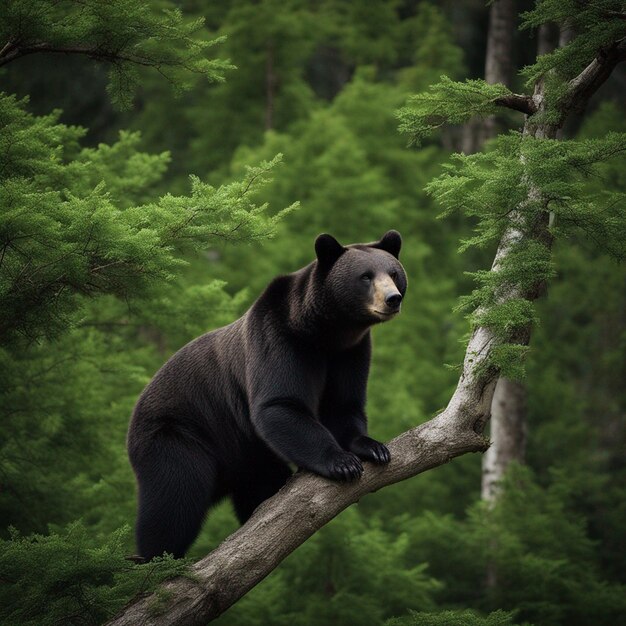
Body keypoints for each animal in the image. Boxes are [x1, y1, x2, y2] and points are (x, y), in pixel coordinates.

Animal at [129, 228, 408, 556]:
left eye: (393, 273)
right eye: (365, 276)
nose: (392, 298)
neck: (327, 332)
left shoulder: (350, 353)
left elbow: (343, 406)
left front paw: (373, 447)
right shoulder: (280, 337)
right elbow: (279, 404)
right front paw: (342, 462)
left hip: (247, 454)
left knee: (261, 484)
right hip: (181, 433)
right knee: (175, 500)